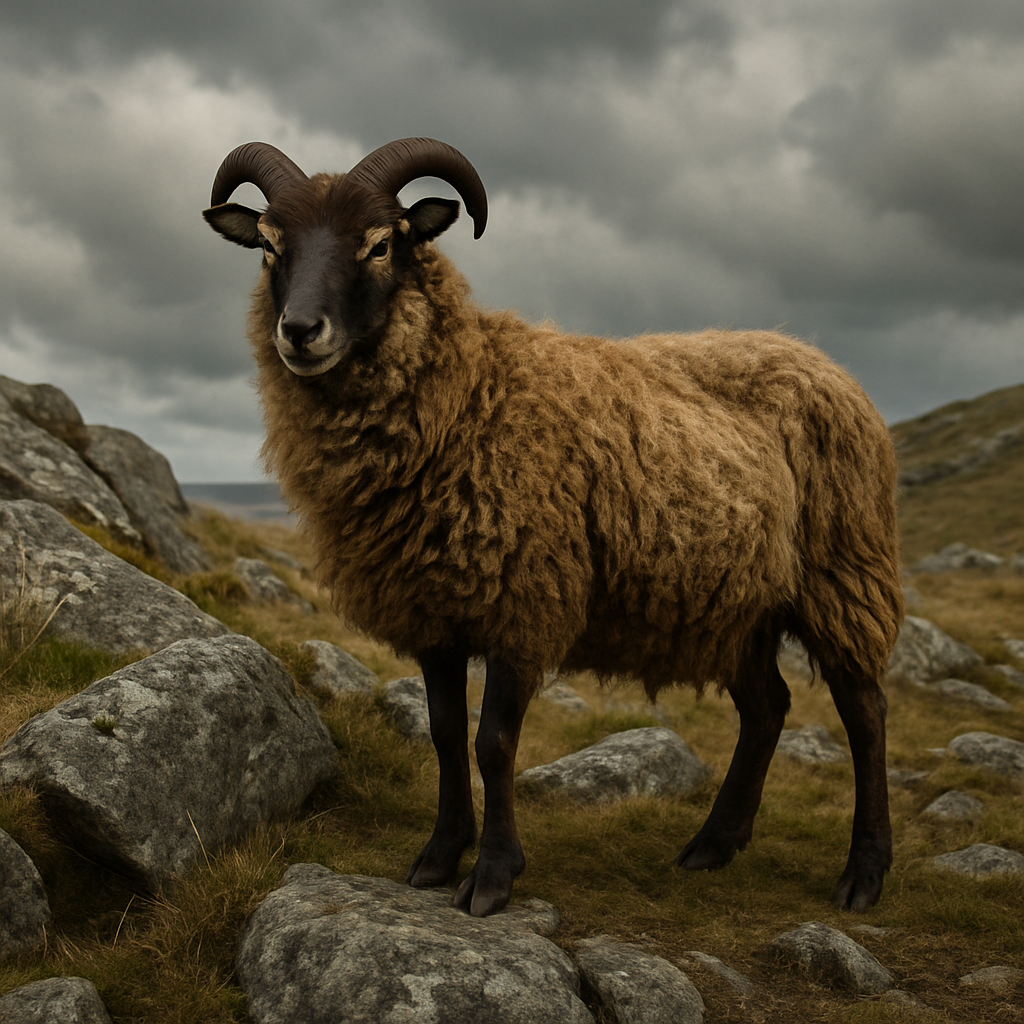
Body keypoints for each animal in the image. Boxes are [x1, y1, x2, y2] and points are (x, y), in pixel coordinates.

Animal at [203, 137, 904, 918]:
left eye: (381, 243)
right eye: (269, 246)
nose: (298, 332)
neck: (471, 396)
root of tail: (821, 359)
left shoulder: (524, 597)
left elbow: (494, 742)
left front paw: (493, 876)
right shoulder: (433, 608)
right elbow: (444, 733)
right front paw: (439, 855)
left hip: (843, 571)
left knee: (864, 712)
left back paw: (864, 873)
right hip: (734, 602)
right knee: (768, 707)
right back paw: (712, 845)